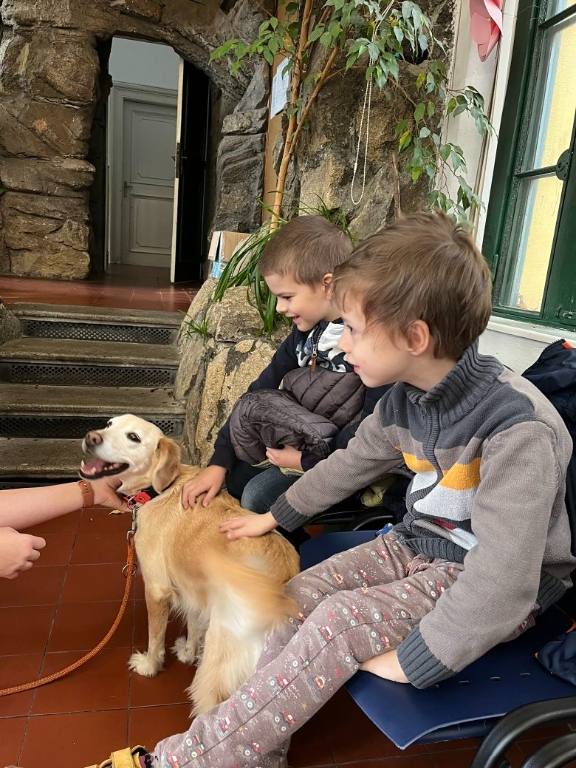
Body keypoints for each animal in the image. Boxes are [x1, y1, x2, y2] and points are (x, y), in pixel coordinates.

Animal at [79, 414, 300, 714]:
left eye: (134, 437)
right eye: (109, 424)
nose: (91, 437)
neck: (159, 488)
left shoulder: (157, 589)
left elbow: (155, 637)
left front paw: (149, 666)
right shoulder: (193, 588)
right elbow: (194, 623)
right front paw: (188, 652)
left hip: (215, 671)